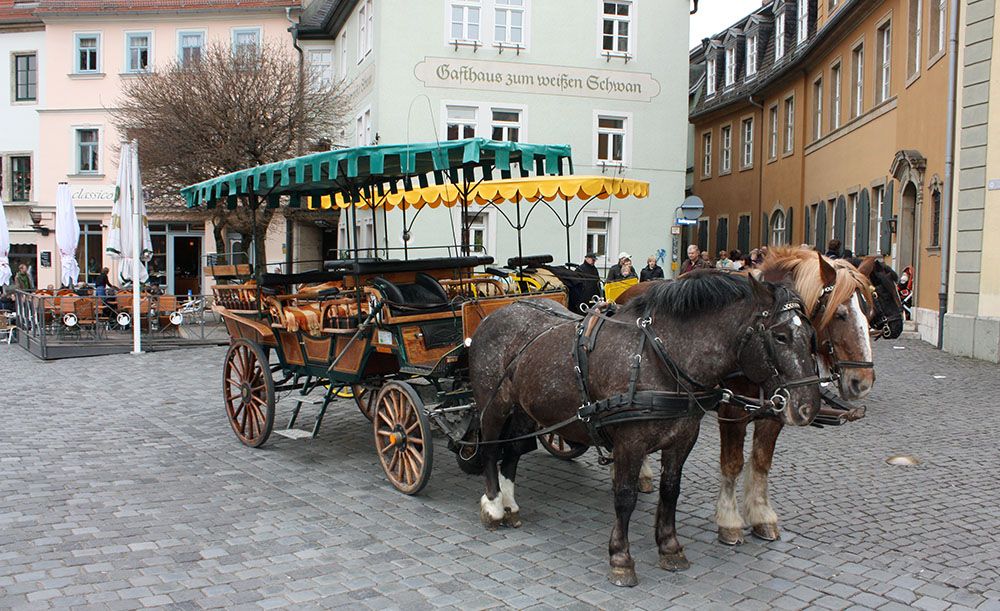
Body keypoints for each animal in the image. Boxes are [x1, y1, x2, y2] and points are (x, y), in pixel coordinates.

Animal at [468, 272, 820, 588]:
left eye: (811, 335)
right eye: (780, 336)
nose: (808, 407)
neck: (659, 357)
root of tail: (497, 314)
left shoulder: (683, 439)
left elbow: (670, 491)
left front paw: (670, 547)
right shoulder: (630, 442)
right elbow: (625, 497)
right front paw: (621, 558)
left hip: (525, 410)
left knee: (514, 451)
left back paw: (510, 503)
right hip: (493, 405)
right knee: (490, 448)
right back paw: (493, 506)